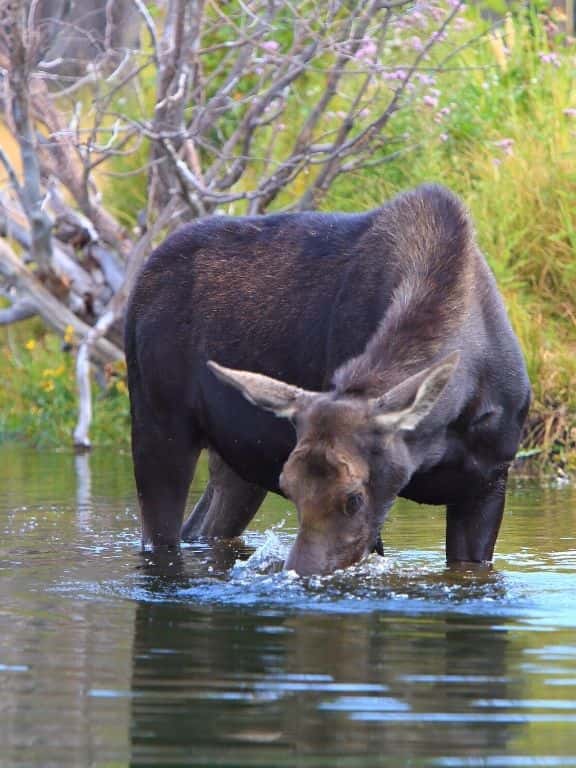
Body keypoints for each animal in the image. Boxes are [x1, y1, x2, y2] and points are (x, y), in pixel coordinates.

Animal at [126, 183, 532, 572]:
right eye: (288, 486)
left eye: (353, 497)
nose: (301, 571)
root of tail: (138, 282)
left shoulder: (488, 479)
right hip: (158, 424)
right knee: (162, 536)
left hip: (236, 456)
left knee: (203, 528)